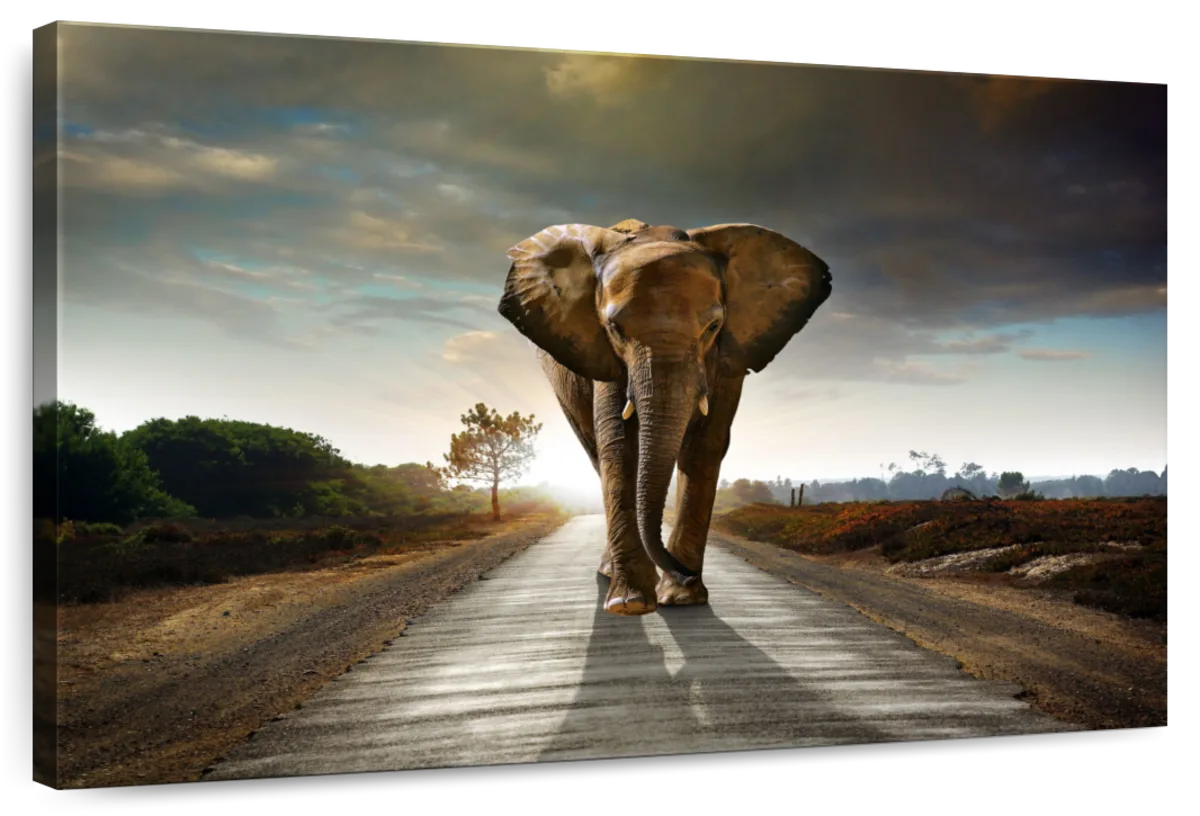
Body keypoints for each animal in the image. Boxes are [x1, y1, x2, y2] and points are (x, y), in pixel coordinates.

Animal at [497, 218, 832, 615]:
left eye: (713, 327)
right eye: (614, 328)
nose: (684, 572)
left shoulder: (729, 357)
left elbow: (705, 446)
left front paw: (683, 599)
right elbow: (620, 445)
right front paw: (631, 604)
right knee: (596, 453)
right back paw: (611, 575)